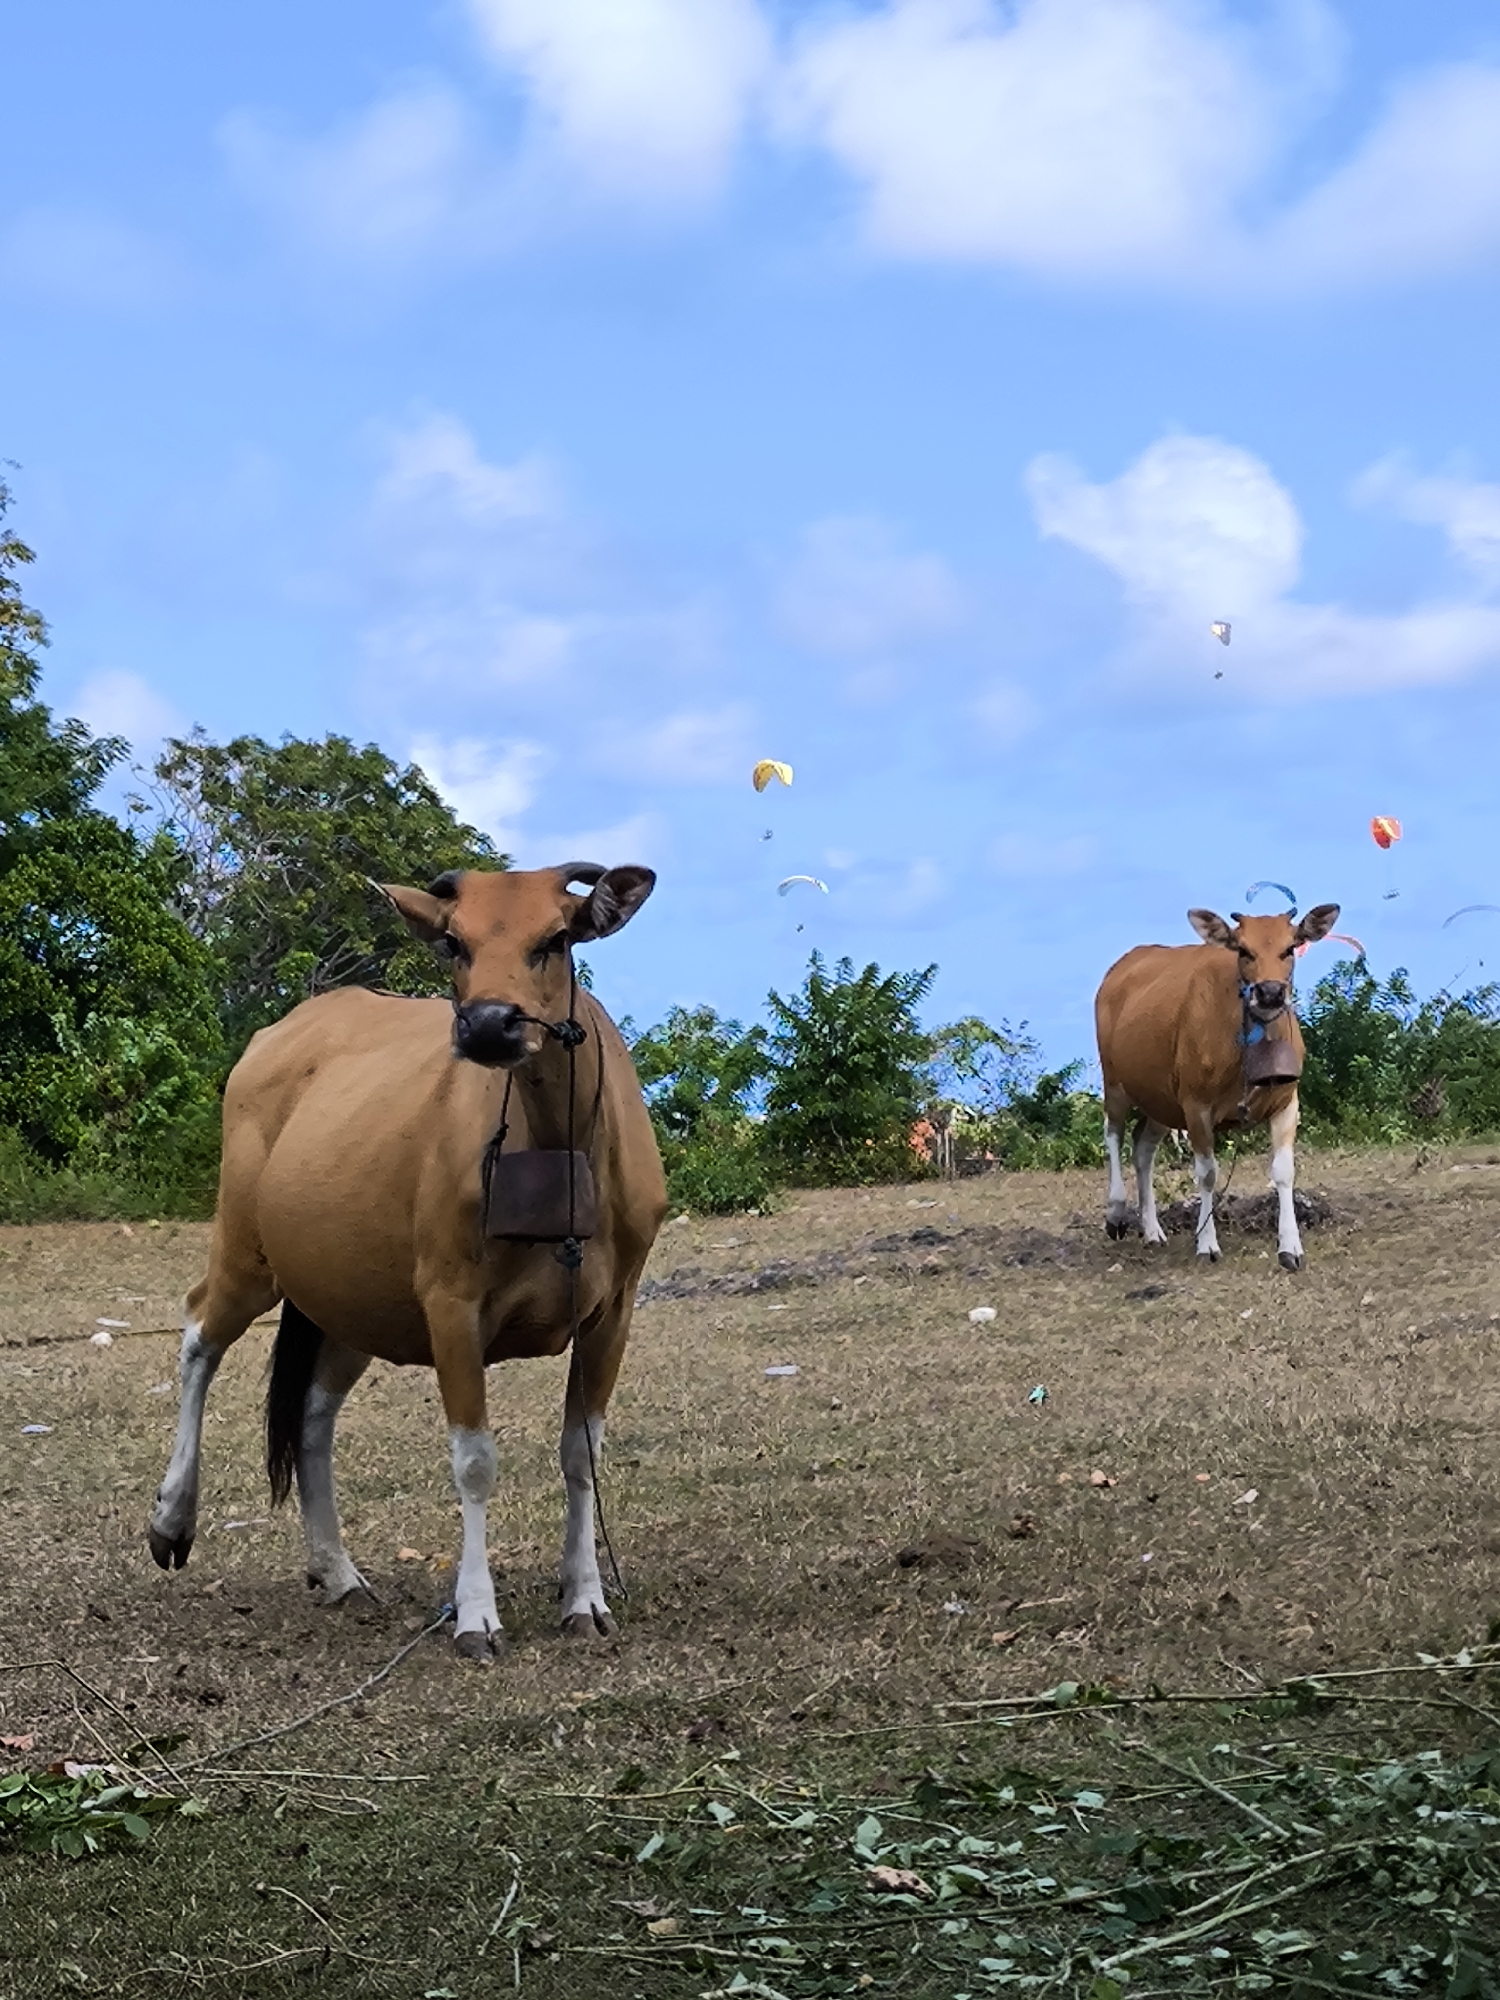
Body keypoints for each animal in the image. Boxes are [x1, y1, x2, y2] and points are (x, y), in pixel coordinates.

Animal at [147, 862, 667, 1659]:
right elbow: (474, 1461)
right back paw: (173, 1519)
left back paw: (337, 1572)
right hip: (247, 1249)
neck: (559, 1147)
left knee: (311, 1415)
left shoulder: (614, 1309)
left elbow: (581, 1454)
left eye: (556, 938)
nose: (489, 1024)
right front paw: (476, 1613)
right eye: (454, 943)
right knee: (199, 1334)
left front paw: (584, 1596)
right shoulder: (451, 1301)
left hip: (349, 1299)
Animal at [1094, 903, 1339, 1271]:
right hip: (1115, 1082)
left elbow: (1284, 1171)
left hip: (1161, 1100)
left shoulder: (1287, 1101)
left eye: (1289, 948)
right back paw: (1116, 1213)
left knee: (1142, 1148)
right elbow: (1207, 1173)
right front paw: (1207, 1243)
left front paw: (1290, 1247)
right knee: (1113, 1133)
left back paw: (1152, 1230)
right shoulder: (1196, 1105)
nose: (1270, 992)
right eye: (1244, 950)